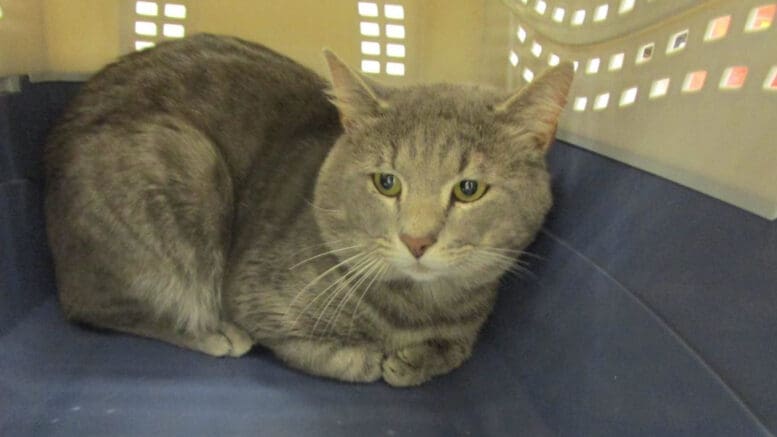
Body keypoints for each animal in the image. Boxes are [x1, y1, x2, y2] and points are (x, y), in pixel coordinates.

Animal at [45, 34, 572, 384]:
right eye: (386, 182)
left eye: (468, 189)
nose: (417, 240)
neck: (417, 308)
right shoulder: (259, 300)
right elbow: (334, 356)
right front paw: (378, 359)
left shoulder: (470, 322)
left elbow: (458, 347)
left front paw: (415, 360)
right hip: (187, 163)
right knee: (96, 307)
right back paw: (214, 334)